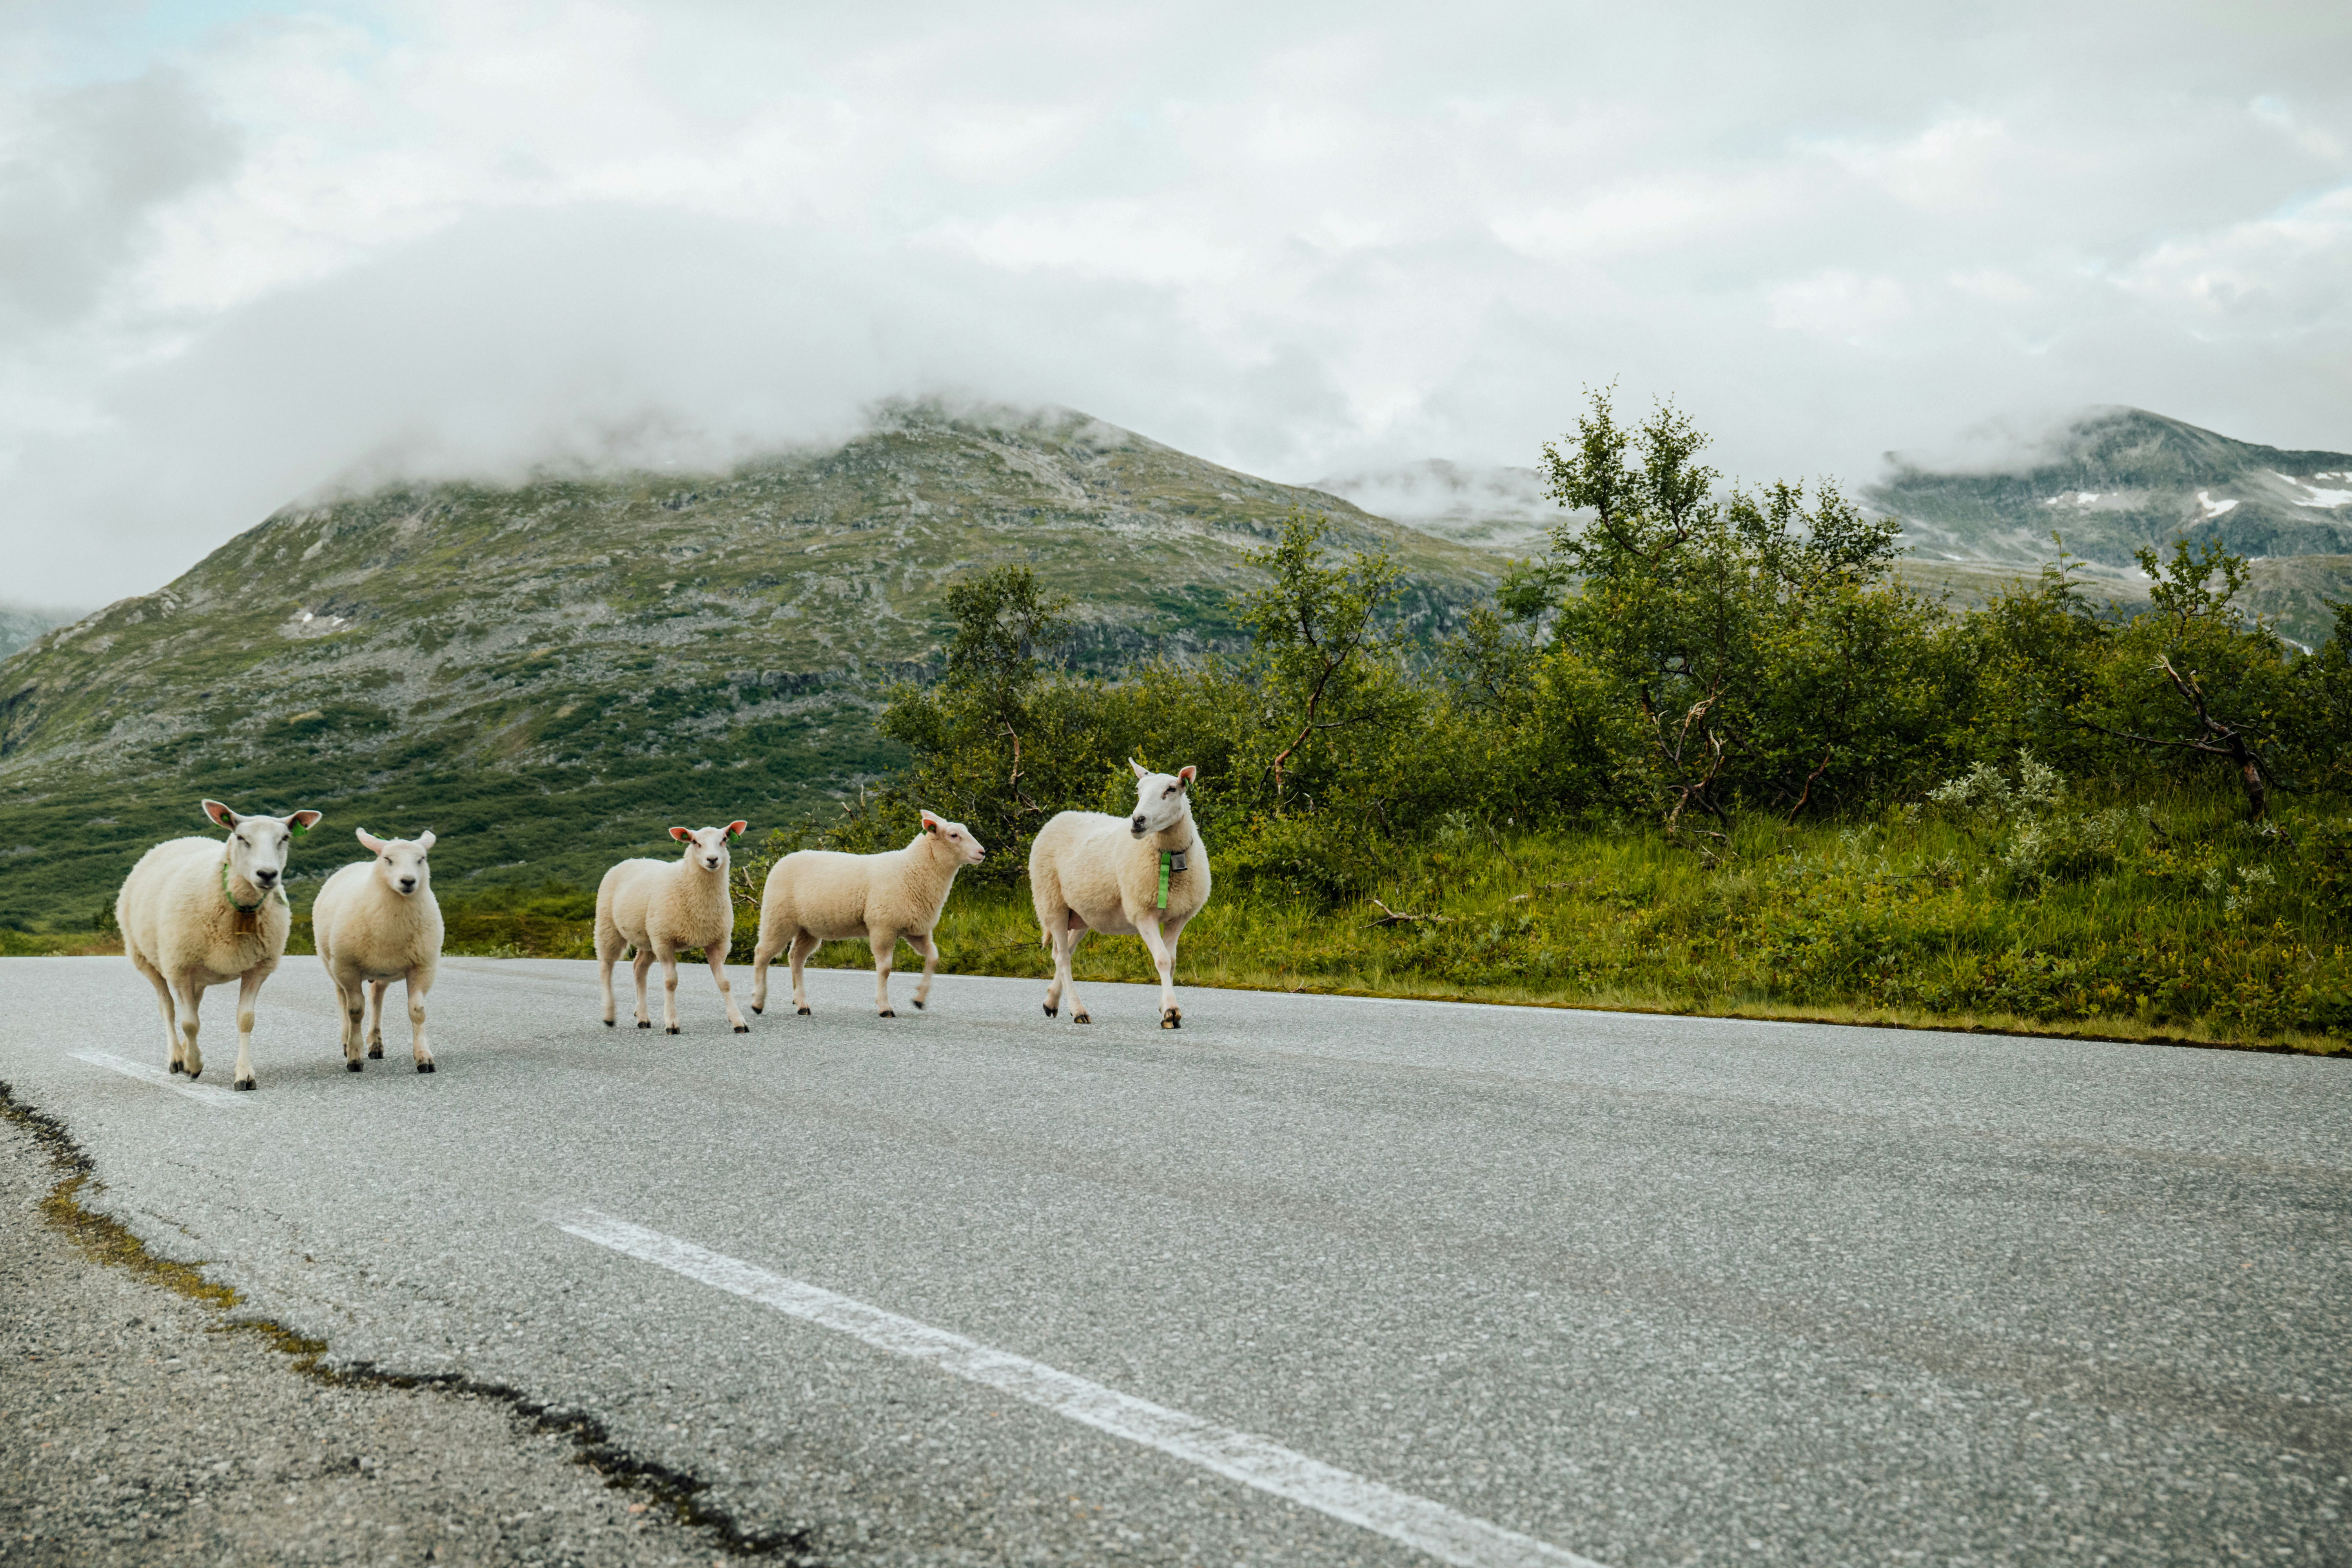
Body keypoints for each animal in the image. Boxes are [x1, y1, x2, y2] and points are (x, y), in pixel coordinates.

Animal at [116, 799, 324, 1090]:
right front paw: (193, 1066)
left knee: (191, 1006)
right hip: (148, 959)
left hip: (199, 976)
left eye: (285, 838)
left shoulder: (257, 968)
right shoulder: (181, 967)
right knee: (169, 1009)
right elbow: (190, 1024)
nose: (267, 875)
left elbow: (245, 1020)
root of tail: (179, 839)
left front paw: (244, 1075)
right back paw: (177, 1058)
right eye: (241, 837)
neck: (242, 908)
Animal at [311, 829, 443, 1074]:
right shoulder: (348, 968)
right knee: (343, 1000)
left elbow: (418, 1011)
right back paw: (347, 1043)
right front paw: (355, 1058)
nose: (408, 881)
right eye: (388, 859)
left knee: (376, 999)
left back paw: (376, 1044)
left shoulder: (423, 967)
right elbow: (355, 1011)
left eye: (422, 859)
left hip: (383, 970)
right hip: (332, 964)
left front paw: (424, 1057)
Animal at [596, 822, 750, 1034]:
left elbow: (725, 983)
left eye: (724, 839)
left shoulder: (718, 942)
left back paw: (642, 1017)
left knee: (639, 969)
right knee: (606, 967)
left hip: (649, 938)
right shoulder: (665, 942)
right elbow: (671, 982)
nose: (712, 860)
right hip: (609, 927)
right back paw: (609, 1015)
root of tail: (628, 861)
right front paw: (672, 1023)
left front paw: (738, 1021)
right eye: (694, 842)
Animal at [750, 811, 986, 1018]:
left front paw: (919, 999)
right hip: (778, 917)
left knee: (796, 958)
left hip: (808, 928)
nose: (982, 852)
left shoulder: (916, 930)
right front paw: (885, 1008)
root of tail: (781, 862)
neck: (912, 869)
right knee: (762, 954)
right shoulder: (883, 926)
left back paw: (801, 1004)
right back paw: (758, 1003)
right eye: (954, 835)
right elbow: (885, 969)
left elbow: (933, 957)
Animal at [1029, 761, 1211, 1029]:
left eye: (1171, 789)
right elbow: (1163, 960)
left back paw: (1052, 1002)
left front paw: (1165, 1007)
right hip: (1052, 903)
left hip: (1082, 913)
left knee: (1064, 953)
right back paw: (1078, 1011)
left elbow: (1172, 961)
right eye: (1138, 790)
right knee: (1062, 958)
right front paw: (1171, 1012)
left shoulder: (1179, 917)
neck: (1169, 855)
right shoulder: (1142, 912)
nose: (1137, 821)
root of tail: (1057, 818)